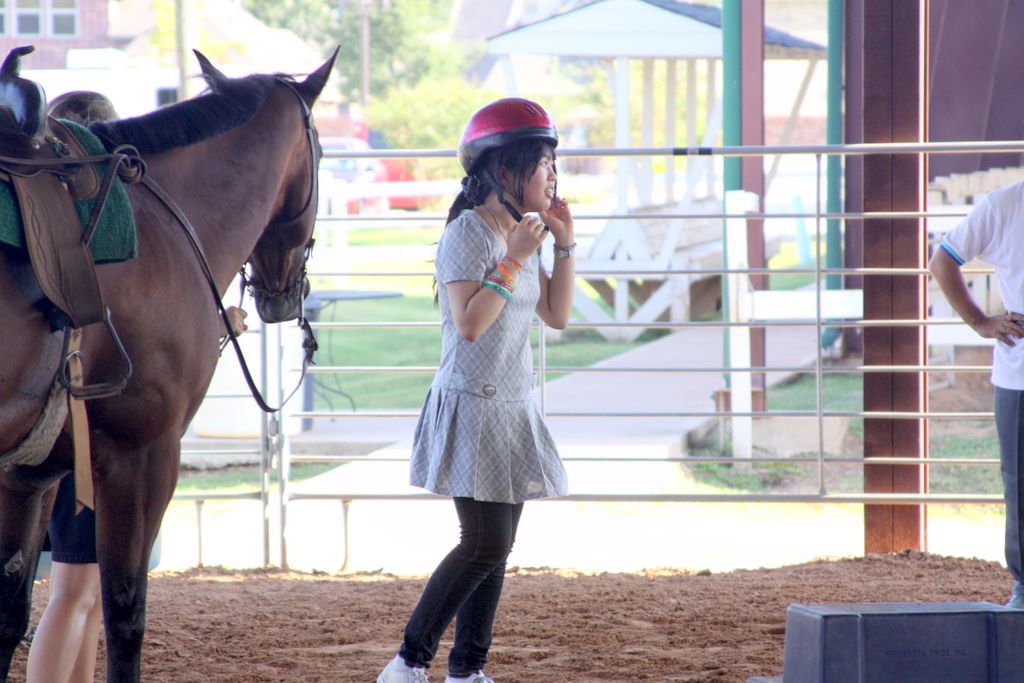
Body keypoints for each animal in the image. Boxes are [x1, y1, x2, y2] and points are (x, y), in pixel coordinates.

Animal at [0, 48, 336, 682]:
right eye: (323, 152)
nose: (284, 293)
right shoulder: (143, 457)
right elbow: (125, 613)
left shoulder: (27, 474)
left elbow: (8, 618)